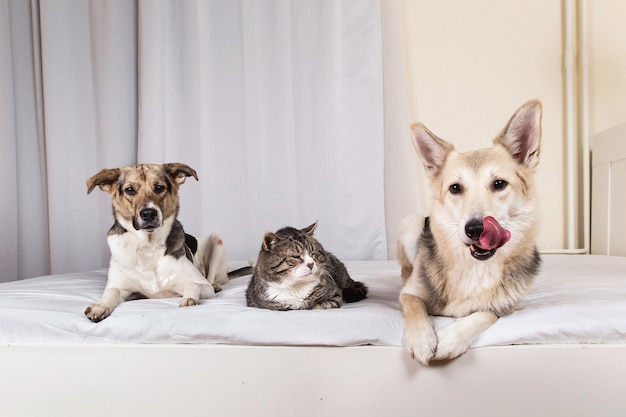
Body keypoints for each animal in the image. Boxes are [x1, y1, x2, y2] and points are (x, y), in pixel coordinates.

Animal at [86, 162, 243, 322]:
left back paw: (216, 285)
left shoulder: (202, 284)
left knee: (212, 278)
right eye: (129, 190)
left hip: (217, 239)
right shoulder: (122, 288)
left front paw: (189, 298)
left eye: (159, 188)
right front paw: (100, 306)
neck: (148, 245)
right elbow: (111, 292)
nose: (149, 213)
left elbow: (192, 284)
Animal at [400, 101, 540, 364]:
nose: (475, 229)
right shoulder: (409, 294)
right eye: (455, 188)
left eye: (499, 184)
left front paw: (451, 339)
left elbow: (485, 313)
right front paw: (421, 340)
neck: (475, 267)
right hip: (409, 227)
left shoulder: (505, 307)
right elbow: (415, 307)